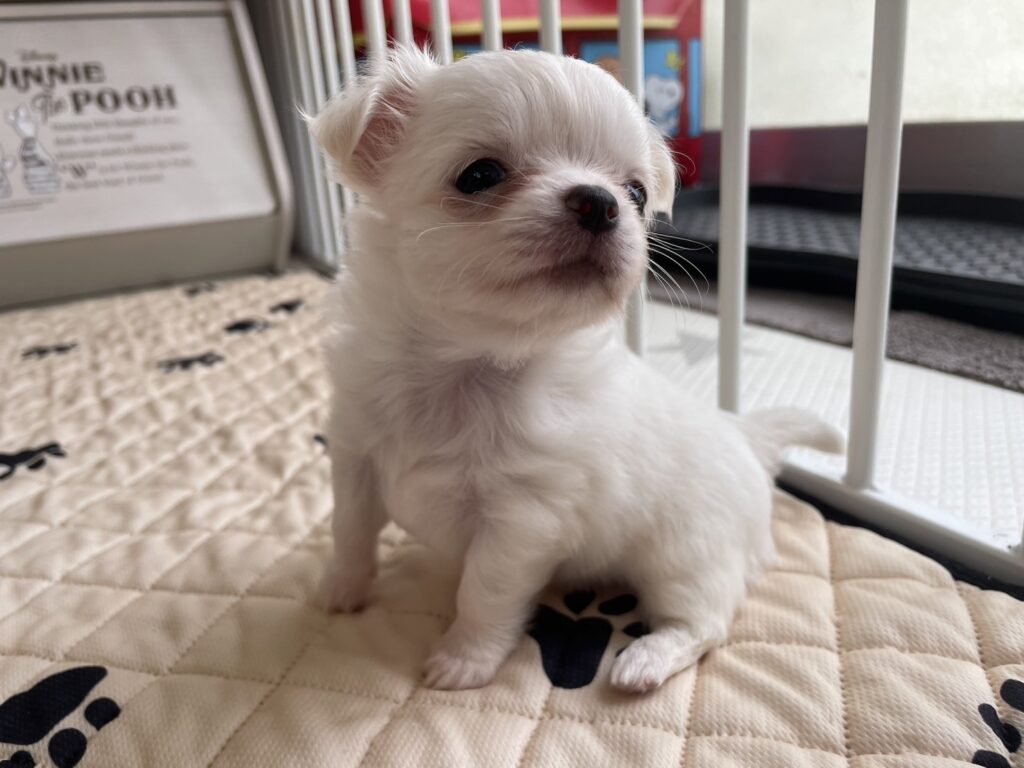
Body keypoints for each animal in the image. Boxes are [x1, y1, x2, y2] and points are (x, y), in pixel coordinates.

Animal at [310, 47, 842, 693]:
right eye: (479, 175)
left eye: (636, 193)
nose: (601, 199)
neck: (464, 363)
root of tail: (744, 435)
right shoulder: (355, 455)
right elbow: (350, 530)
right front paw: (341, 591)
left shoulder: (520, 522)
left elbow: (483, 592)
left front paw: (463, 660)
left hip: (686, 554)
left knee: (704, 621)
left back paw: (644, 660)